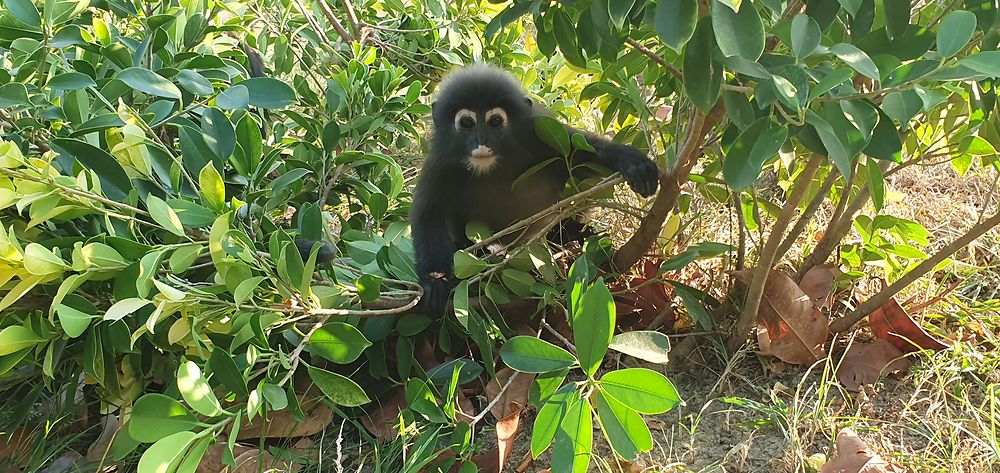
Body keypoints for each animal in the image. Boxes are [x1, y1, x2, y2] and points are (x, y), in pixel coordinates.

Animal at [410, 64, 660, 318]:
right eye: (467, 123)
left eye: (495, 121)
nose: (482, 140)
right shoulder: (440, 164)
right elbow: (429, 215)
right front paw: (435, 281)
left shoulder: (540, 132)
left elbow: (581, 152)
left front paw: (631, 162)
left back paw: (569, 234)